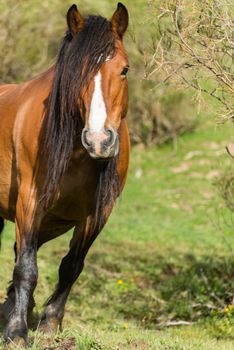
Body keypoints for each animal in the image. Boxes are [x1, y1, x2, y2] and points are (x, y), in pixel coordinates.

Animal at [0, 2, 130, 346]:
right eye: (75, 71)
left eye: (124, 70)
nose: (99, 141)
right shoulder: (30, 202)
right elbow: (26, 268)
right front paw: (17, 332)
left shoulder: (97, 213)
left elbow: (71, 266)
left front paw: (48, 323)